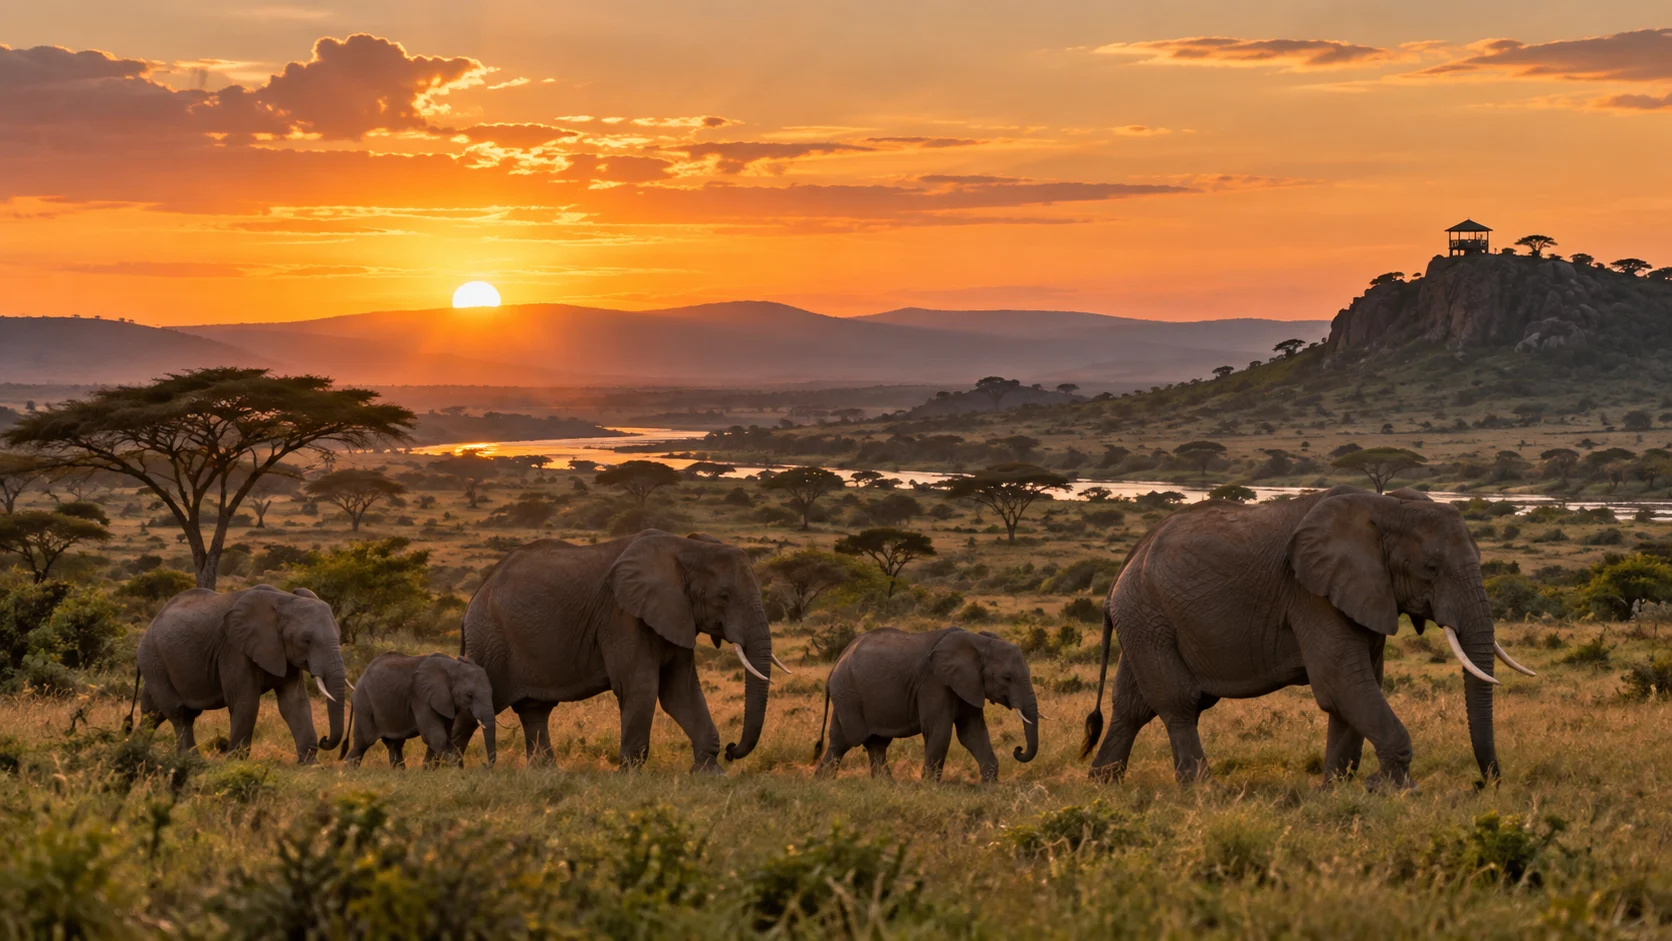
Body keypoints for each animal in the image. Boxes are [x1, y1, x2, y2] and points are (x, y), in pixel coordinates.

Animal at [135, 584, 347, 763]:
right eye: (307, 640)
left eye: (339, 636)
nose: (325, 738)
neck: (285, 599)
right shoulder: (234, 649)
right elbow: (245, 701)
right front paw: (234, 763)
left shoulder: (283, 654)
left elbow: (294, 702)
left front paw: (311, 765)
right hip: (153, 659)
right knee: (179, 713)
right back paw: (190, 760)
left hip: (155, 663)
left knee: (153, 712)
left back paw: (137, 748)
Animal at [340, 653, 496, 768]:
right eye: (469, 695)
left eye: (491, 692)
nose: (484, 764)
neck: (452, 667)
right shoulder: (421, 698)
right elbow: (436, 736)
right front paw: (457, 771)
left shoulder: (445, 702)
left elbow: (444, 736)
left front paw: (430, 771)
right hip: (364, 704)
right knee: (363, 743)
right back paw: (349, 774)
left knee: (394, 745)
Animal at [453, 530, 783, 771]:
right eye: (723, 596)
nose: (731, 749)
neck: (686, 547)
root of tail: (473, 599)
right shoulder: (622, 616)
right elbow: (641, 686)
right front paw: (629, 776)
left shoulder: (676, 616)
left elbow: (680, 691)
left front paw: (710, 773)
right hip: (490, 642)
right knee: (476, 705)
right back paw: (448, 767)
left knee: (534, 710)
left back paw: (546, 773)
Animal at [812, 627, 1039, 782]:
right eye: (1007, 678)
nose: (1018, 749)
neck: (980, 642)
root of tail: (839, 658)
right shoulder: (935, 683)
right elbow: (940, 732)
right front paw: (929, 788)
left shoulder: (970, 685)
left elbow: (972, 733)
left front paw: (989, 787)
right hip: (849, 693)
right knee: (849, 740)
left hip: (848, 695)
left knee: (863, 743)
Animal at [1081, 486, 1535, 789]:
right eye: (1431, 568)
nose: (1486, 783)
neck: (1386, 505)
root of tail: (1128, 562)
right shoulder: (1311, 594)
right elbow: (1342, 681)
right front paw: (1393, 789)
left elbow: (1355, 688)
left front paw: (1336, 792)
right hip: (1147, 612)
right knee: (1179, 702)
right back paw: (1202, 791)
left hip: (1145, 619)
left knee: (1133, 705)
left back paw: (1104, 783)